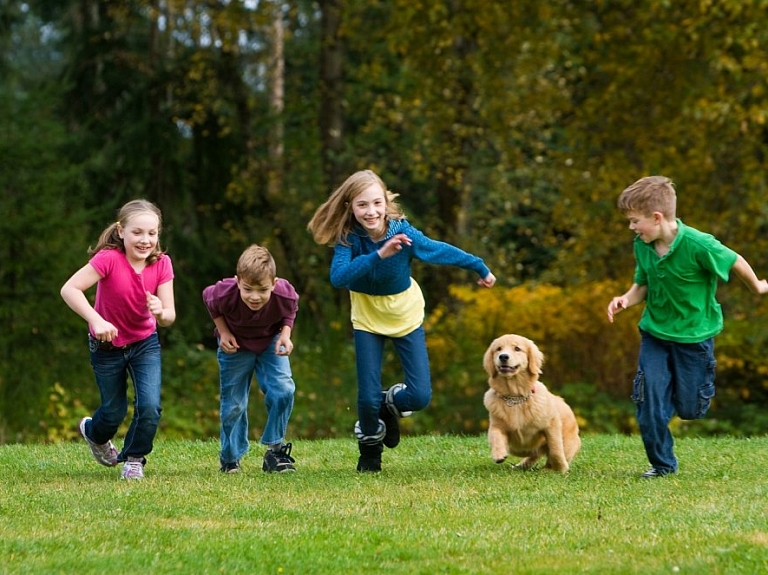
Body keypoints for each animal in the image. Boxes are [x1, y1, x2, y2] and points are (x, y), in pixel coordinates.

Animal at [484, 332, 580, 472]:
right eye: (498, 349)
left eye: (517, 348)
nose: (503, 357)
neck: (515, 397)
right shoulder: (496, 424)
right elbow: (496, 436)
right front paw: (499, 454)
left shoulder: (551, 425)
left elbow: (555, 448)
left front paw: (561, 468)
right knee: (534, 455)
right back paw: (521, 465)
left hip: (569, 441)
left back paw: (547, 468)